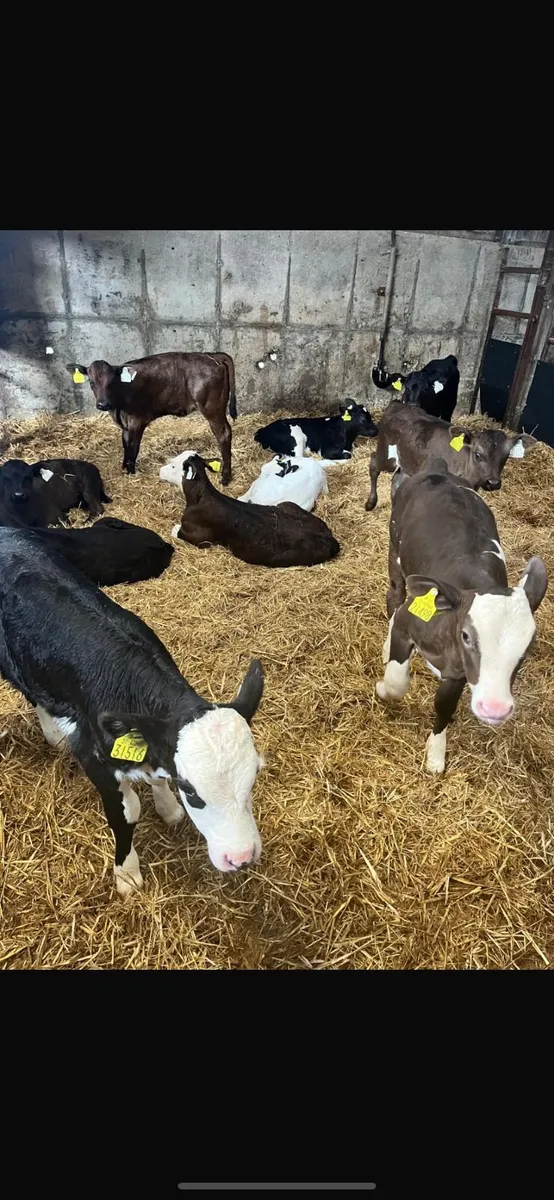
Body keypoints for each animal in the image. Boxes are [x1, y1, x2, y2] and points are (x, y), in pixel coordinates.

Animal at [0, 526, 265, 897]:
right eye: (190, 791)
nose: (240, 857)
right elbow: (126, 814)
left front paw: (168, 808)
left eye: (253, 776)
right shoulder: (93, 754)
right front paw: (126, 873)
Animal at [65, 351, 237, 484]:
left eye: (111, 382)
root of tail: (212, 355)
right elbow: (125, 445)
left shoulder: (137, 420)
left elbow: (133, 447)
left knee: (224, 434)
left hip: (212, 408)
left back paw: (225, 477)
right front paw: (124, 467)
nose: (103, 404)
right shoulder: (125, 424)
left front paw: (131, 472)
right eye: (91, 382)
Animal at [170, 452, 340, 567]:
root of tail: (329, 538)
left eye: (174, 466)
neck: (200, 494)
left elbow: (175, 531)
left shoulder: (197, 536)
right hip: (288, 504)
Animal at [365, 401, 537, 511]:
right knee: (373, 462)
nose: (493, 483)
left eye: (506, 456)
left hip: (408, 463)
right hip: (387, 455)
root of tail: (397, 404)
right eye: (477, 454)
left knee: (396, 481)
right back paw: (370, 503)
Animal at [375, 460, 548, 774]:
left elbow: (444, 705)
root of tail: (437, 470)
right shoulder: (409, 620)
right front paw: (382, 688)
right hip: (395, 552)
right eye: (467, 635)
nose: (494, 708)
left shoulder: (458, 670)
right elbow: (396, 681)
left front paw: (436, 754)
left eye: (527, 649)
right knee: (394, 595)